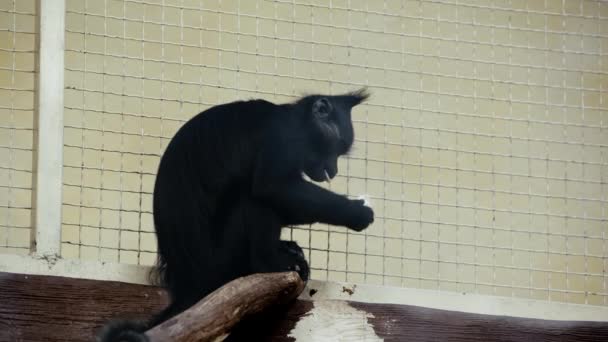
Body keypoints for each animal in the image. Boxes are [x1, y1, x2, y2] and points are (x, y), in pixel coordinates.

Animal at [97, 89, 372, 340]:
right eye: (336, 148)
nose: (334, 170)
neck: (295, 119)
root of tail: (187, 281)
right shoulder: (283, 135)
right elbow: (272, 186)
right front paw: (357, 212)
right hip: (221, 258)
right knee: (252, 198)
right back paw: (270, 262)